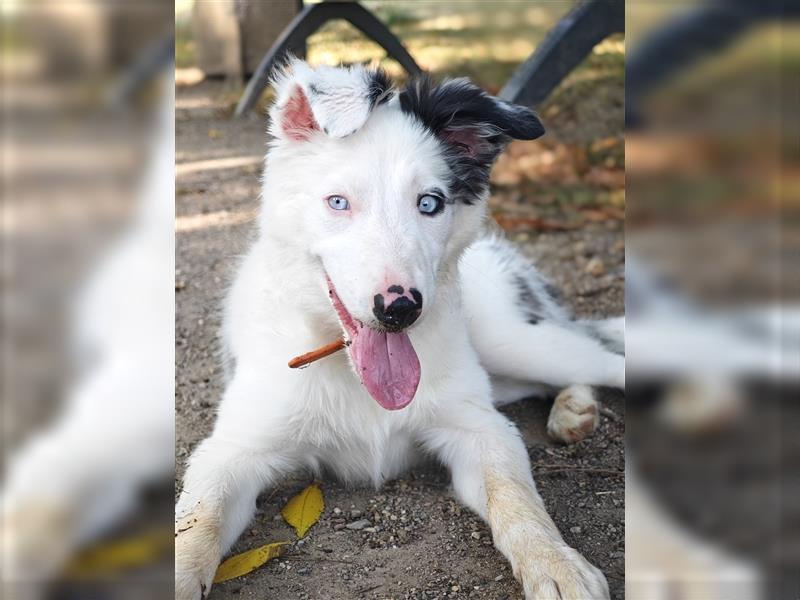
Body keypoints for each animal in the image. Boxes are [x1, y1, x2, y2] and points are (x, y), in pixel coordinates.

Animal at [177, 57, 624, 600]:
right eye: (338, 202)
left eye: (429, 203)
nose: (400, 309)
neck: (352, 374)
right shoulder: (232, 450)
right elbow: (197, 521)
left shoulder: (480, 428)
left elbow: (516, 498)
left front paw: (555, 561)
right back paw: (573, 411)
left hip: (513, 342)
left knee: (602, 356)